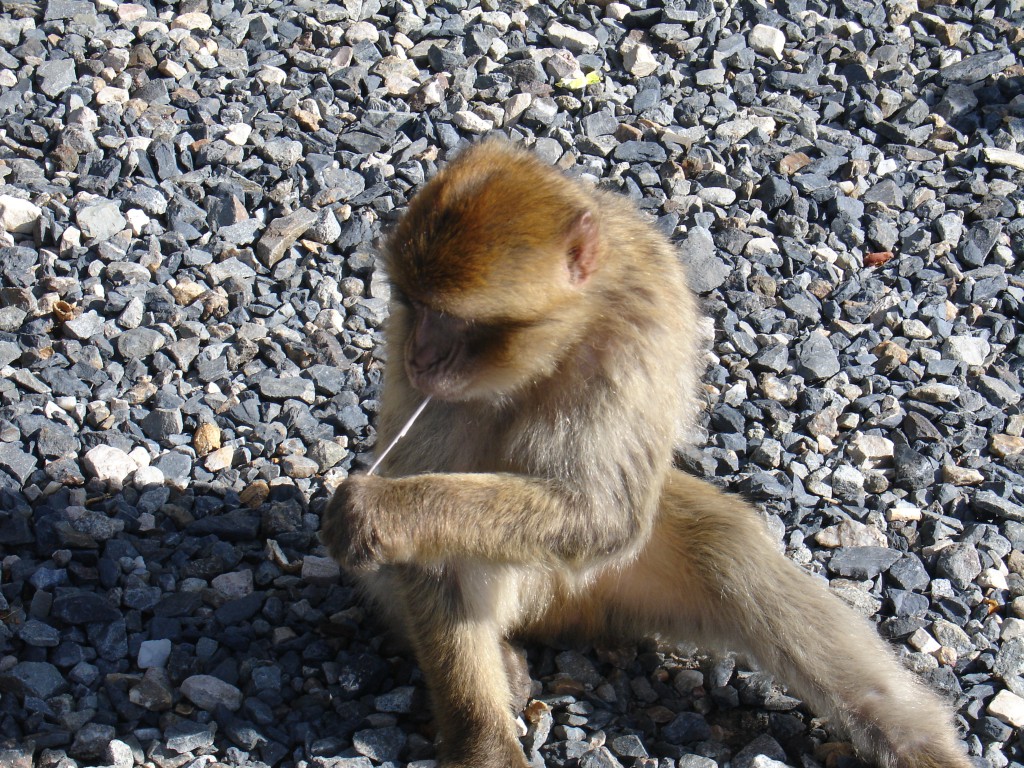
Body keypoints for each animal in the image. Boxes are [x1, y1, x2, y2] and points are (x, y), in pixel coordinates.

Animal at [320, 140, 972, 768]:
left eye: (449, 318)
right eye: (413, 305)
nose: (419, 357)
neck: (558, 341)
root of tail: (548, 607)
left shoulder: (634, 332)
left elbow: (600, 514)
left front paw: (382, 512)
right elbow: (433, 552)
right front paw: (480, 742)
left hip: (616, 583)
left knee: (725, 549)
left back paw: (917, 742)